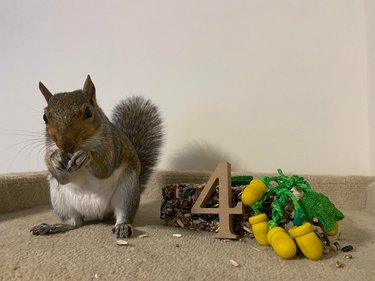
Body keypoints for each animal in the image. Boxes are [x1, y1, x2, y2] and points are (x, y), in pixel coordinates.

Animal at [30, 74, 163, 236]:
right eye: (45, 117)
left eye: (88, 111)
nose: (65, 144)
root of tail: (97, 214)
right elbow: (62, 178)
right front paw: (55, 157)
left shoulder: (112, 145)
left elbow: (105, 169)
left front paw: (85, 156)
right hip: (59, 199)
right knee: (74, 223)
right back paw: (52, 226)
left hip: (127, 190)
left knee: (123, 214)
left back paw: (123, 226)